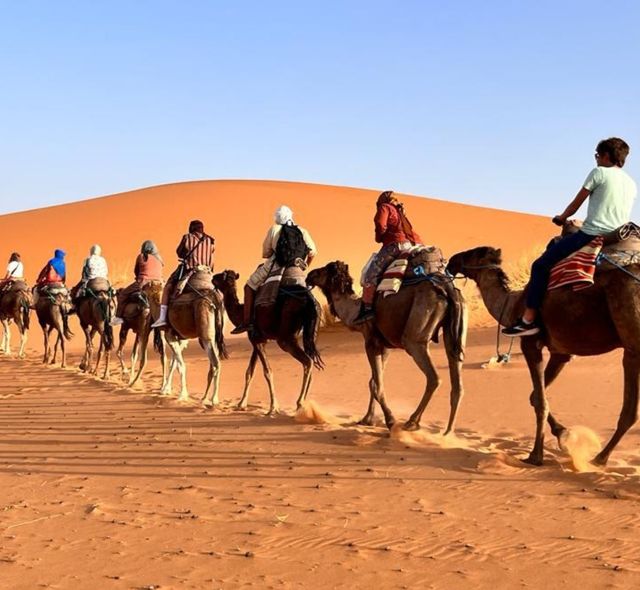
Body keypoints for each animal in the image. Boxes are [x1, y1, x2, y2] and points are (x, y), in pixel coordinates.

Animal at [160, 276, 228, 408]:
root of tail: (215, 299)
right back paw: (209, 398)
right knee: (215, 363)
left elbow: (180, 365)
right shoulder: (181, 339)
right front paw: (166, 389)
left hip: (206, 336)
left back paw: (213, 399)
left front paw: (182, 395)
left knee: (215, 363)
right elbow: (174, 363)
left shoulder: (169, 335)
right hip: (215, 336)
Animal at [212, 272, 324, 416]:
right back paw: (304, 404)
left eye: (221, 276)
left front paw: (273, 407)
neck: (241, 314)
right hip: (311, 332)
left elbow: (267, 371)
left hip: (286, 337)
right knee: (310, 359)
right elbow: (249, 372)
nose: (213, 277)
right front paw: (241, 404)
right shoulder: (258, 341)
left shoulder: (257, 340)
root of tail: (310, 300)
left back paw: (300, 404)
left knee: (308, 361)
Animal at [304, 262, 464, 432]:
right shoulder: (386, 346)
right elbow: (373, 382)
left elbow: (377, 386)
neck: (355, 312)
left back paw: (412, 422)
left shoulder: (370, 342)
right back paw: (447, 432)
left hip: (415, 336)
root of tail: (446, 289)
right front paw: (367, 420)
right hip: (454, 332)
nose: (309, 275)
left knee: (434, 377)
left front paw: (390, 420)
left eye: (324, 270)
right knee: (457, 382)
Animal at [444, 245, 640, 468]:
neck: (513, 305)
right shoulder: (561, 353)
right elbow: (534, 396)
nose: (452, 261)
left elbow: (539, 401)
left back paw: (599, 458)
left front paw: (535, 456)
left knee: (629, 411)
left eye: (473, 253)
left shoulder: (530, 344)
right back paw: (599, 457)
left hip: (632, 341)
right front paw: (563, 435)